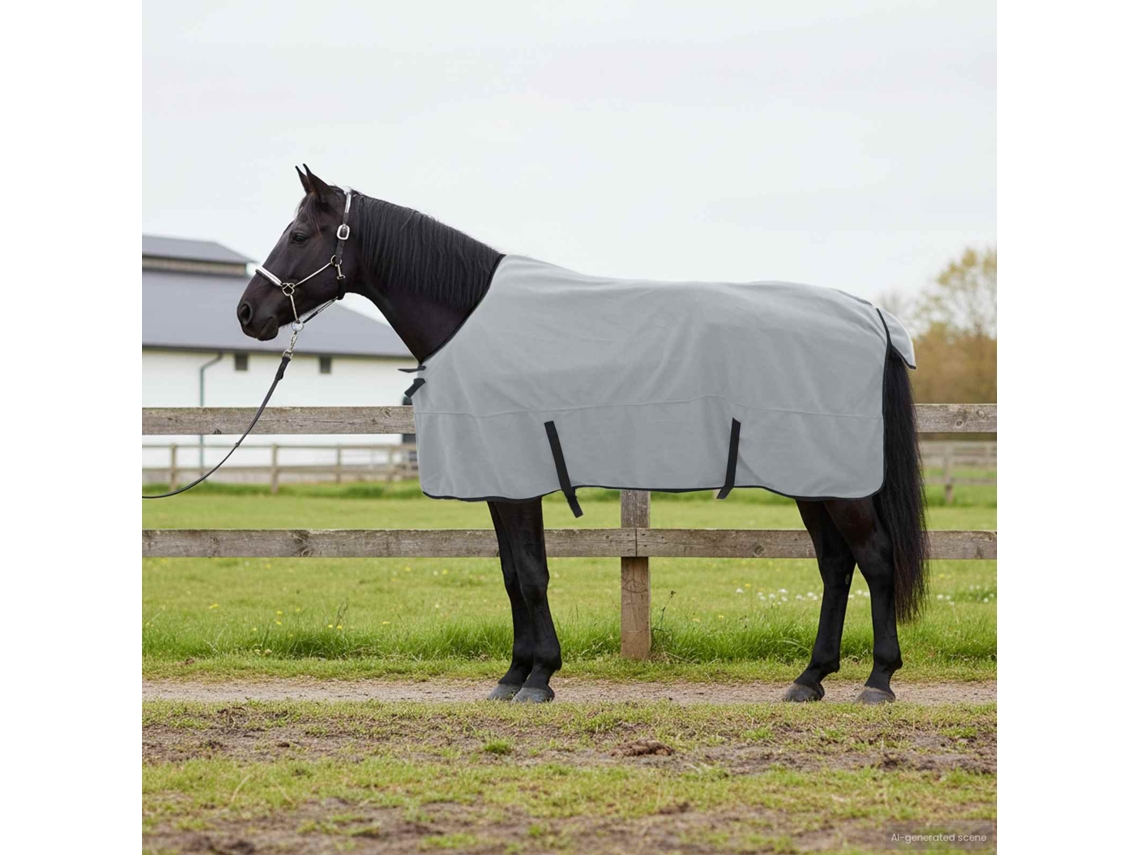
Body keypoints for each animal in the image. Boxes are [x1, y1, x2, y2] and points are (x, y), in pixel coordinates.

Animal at [237, 165, 928, 705]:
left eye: (298, 234)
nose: (248, 313)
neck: (476, 322)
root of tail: (869, 315)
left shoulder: (517, 482)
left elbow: (531, 574)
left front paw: (538, 678)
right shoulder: (502, 484)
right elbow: (513, 572)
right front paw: (515, 674)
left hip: (838, 484)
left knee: (875, 558)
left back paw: (878, 681)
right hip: (813, 480)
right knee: (836, 565)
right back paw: (810, 679)